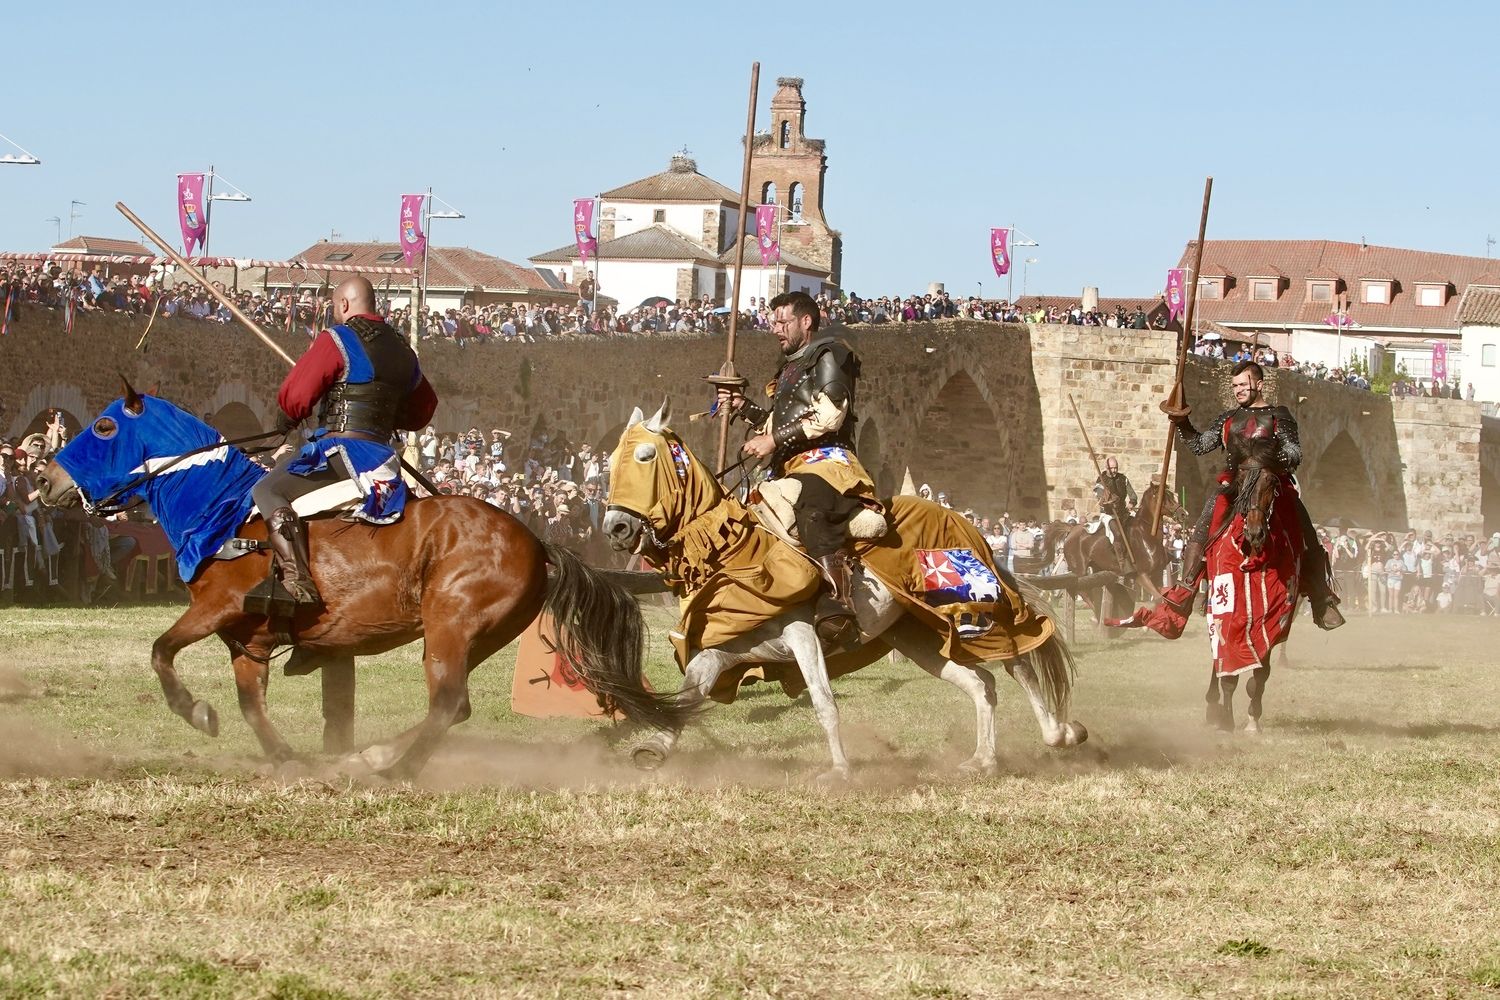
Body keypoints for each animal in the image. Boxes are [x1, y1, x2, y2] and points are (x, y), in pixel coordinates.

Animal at [38, 386, 687, 779]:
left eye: (103, 427)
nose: (46, 483)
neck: (220, 509)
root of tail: (535, 540)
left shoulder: (217, 608)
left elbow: (161, 651)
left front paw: (195, 712)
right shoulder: (247, 641)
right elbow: (251, 705)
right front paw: (284, 757)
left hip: (449, 628)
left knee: (447, 703)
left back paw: (393, 769)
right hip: (471, 638)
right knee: (454, 707)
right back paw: (372, 756)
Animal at [600, 398, 1092, 779]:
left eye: (645, 456)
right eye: (612, 458)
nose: (616, 528)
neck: (737, 549)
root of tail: (965, 522)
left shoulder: (802, 634)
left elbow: (823, 702)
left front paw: (838, 771)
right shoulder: (724, 648)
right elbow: (689, 694)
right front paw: (655, 748)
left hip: (973, 609)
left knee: (1019, 660)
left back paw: (1060, 733)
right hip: (916, 634)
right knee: (981, 683)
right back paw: (984, 759)